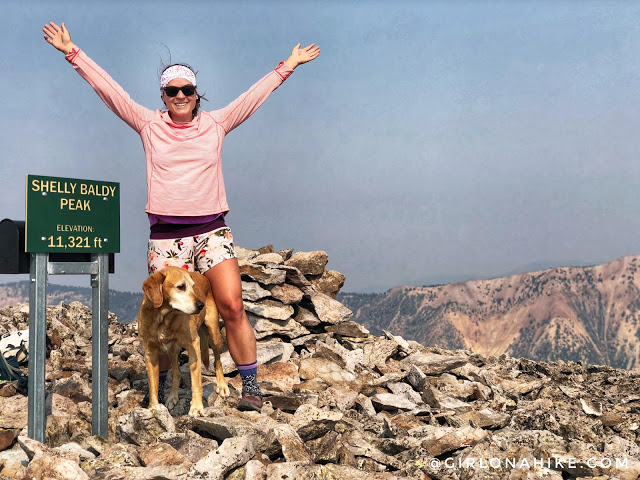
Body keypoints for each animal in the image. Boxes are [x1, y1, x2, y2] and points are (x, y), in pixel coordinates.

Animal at [138, 266, 230, 416]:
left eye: (193, 287)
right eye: (181, 287)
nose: (201, 305)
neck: (163, 318)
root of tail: (204, 277)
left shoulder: (193, 344)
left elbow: (196, 381)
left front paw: (197, 407)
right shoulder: (150, 352)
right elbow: (153, 384)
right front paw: (153, 407)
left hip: (214, 334)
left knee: (217, 361)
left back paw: (222, 386)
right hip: (172, 350)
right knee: (176, 372)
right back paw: (172, 397)